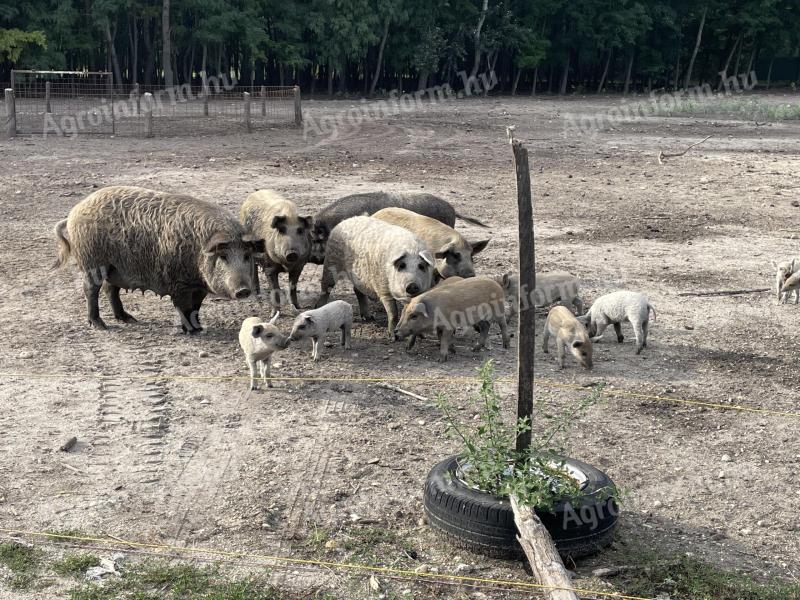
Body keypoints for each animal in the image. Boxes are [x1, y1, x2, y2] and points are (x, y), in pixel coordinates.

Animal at [54, 185, 266, 330]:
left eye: (247, 255)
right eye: (223, 256)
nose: (243, 290)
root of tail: (74, 212)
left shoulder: (199, 287)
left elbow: (196, 307)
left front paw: (199, 328)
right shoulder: (177, 282)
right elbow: (184, 307)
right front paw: (191, 331)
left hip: (114, 267)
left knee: (110, 289)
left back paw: (128, 318)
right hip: (93, 261)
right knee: (91, 289)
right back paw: (100, 325)